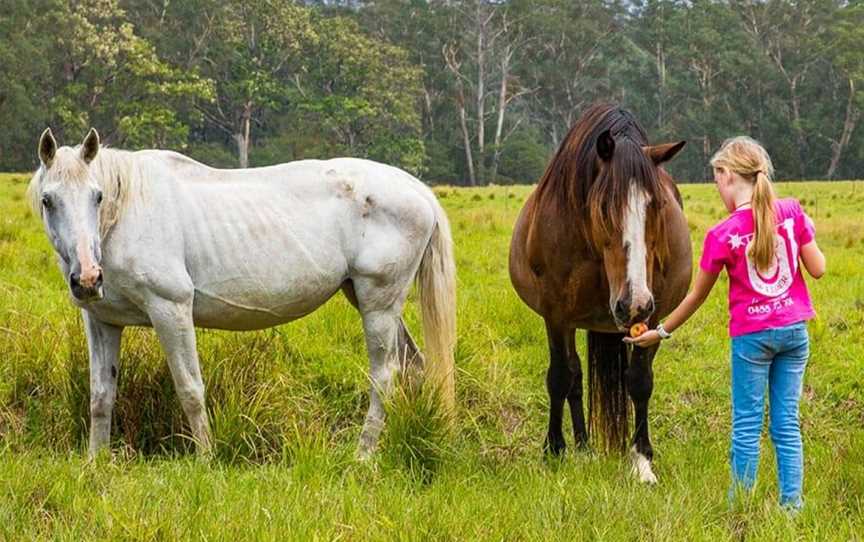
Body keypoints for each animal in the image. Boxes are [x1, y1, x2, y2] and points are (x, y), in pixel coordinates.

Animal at [27, 130, 460, 462]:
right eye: (49, 200)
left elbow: (189, 389)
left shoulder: (171, 310)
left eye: (97, 196)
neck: (125, 215)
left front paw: (205, 460)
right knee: (416, 367)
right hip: (372, 302)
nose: (87, 278)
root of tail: (418, 190)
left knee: (385, 377)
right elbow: (101, 395)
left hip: (379, 305)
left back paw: (363, 456)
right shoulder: (102, 322)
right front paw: (95, 462)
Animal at [510, 105, 692, 484]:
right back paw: (581, 447)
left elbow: (639, 382)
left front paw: (641, 460)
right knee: (574, 377)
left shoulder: (651, 317)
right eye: (605, 205)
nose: (633, 303)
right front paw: (554, 451)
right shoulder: (556, 315)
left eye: (658, 205)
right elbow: (560, 378)